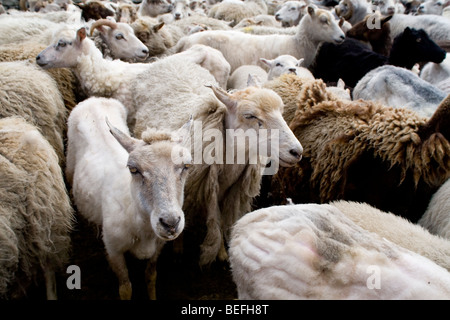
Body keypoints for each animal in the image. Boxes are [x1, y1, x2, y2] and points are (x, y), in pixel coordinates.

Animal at [66, 97, 192, 300]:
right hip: (69, 167)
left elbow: (151, 275)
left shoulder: (158, 246)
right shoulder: (114, 250)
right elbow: (125, 287)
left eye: (186, 166)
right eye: (133, 169)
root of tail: (94, 99)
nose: (170, 223)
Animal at [131, 57, 306, 264]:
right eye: (250, 116)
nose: (296, 151)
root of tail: (168, 59)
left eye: (281, 111)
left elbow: (222, 219)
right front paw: (184, 247)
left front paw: (222, 250)